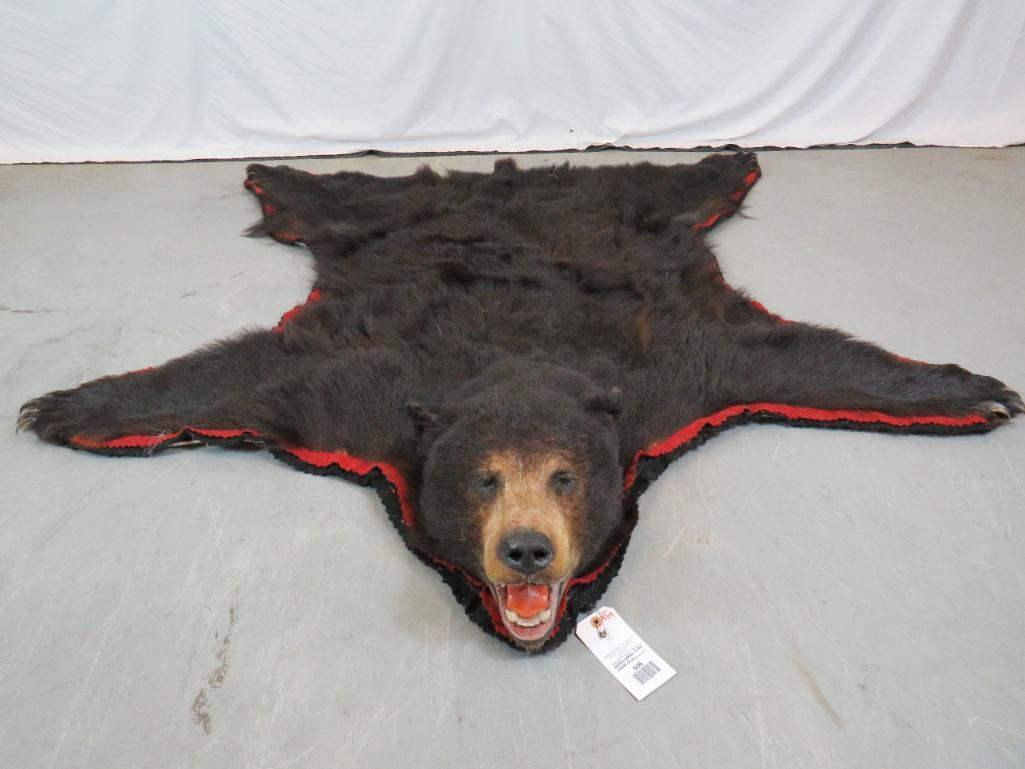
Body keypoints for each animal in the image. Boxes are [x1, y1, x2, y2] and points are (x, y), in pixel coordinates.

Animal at [18, 152, 1022, 652]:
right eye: (484, 480)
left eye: (567, 478)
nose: (528, 548)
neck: (517, 369)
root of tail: (505, 175)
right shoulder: (353, 394)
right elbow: (243, 374)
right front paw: (70, 403)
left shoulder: (675, 372)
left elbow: (801, 359)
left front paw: (969, 388)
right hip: (376, 227)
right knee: (338, 197)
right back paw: (280, 169)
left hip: (629, 209)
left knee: (664, 182)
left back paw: (728, 153)